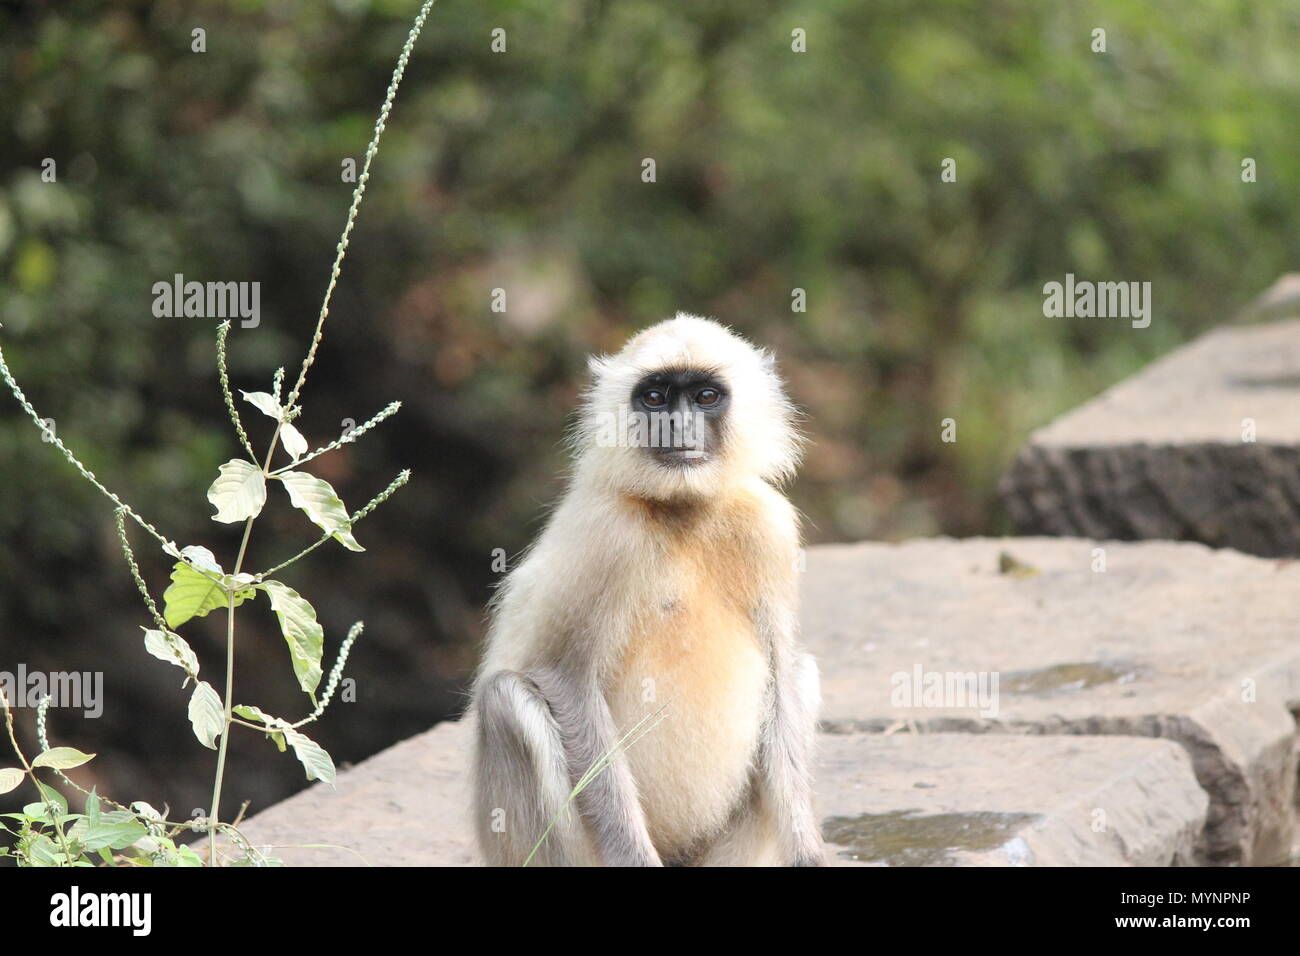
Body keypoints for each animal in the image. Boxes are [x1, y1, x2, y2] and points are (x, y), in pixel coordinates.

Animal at [470, 314, 821, 868]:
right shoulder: (610, 535)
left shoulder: (766, 527)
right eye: (655, 398)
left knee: (800, 673)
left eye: (704, 396)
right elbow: (566, 682)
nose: (675, 425)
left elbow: (783, 679)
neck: (682, 513)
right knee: (506, 699)